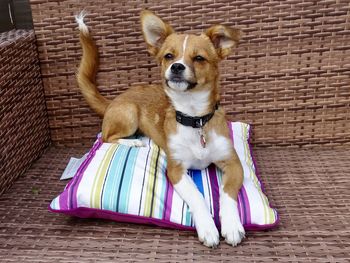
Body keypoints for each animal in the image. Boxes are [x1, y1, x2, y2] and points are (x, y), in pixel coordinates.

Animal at [75, 9, 245, 248]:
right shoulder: (176, 170)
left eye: (199, 58)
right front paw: (208, 227)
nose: (177, 67)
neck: (195, 118)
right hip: (129, 114)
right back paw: (133, 141)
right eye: (168, 56)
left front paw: (231, 225)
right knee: (106, 137)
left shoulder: (233, 163)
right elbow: (197, 196)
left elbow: (227, 194)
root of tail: (113, 101)